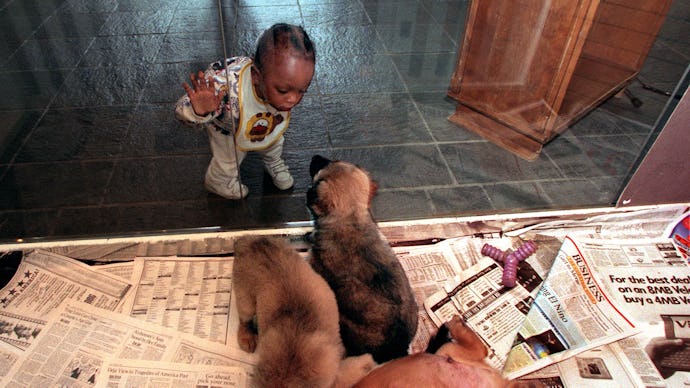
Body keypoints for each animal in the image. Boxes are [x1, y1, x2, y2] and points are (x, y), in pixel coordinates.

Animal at [231, 235, 374, 388]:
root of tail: (248, 240)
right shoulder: (333, 376)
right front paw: (367, 363)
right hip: (245, 300)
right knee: (244, 321)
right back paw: (247, 338)